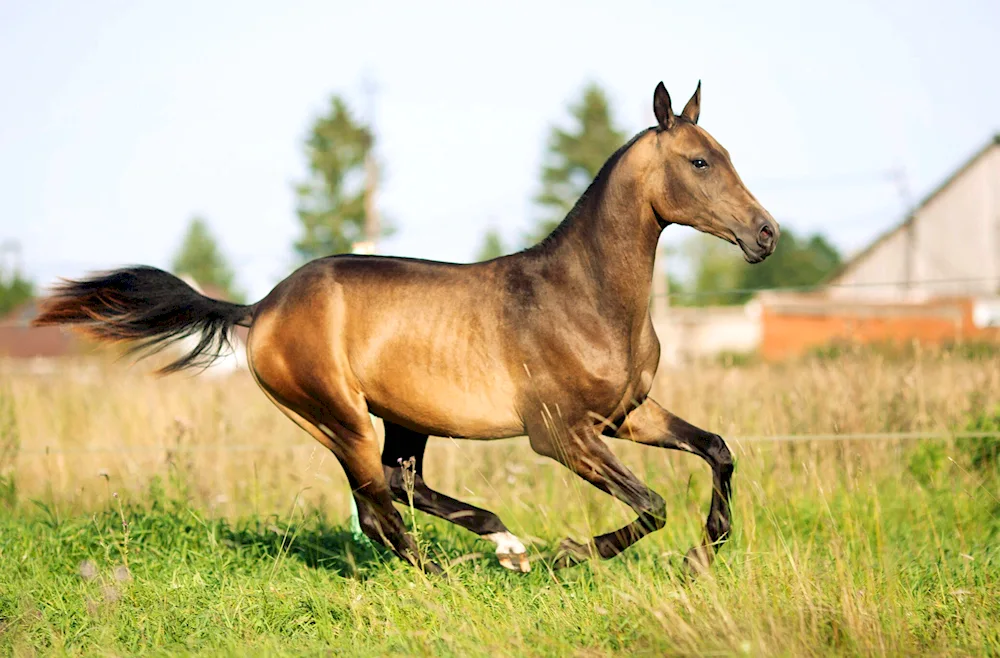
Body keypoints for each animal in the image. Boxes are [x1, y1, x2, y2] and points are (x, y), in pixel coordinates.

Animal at [35, 80, 776, 576]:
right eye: (700, 161)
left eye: (727, 153)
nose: (765, 234)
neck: (583, 296)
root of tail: (261, 308)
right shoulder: (562, 435)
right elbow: (652, 503)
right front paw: (571, 553)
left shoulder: (625, 415)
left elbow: (717, 450)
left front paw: (702, 556)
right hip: (338, 417)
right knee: (377, 506)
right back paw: (463, 569)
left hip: (403, 417)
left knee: (400, 485)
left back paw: (503, 545)